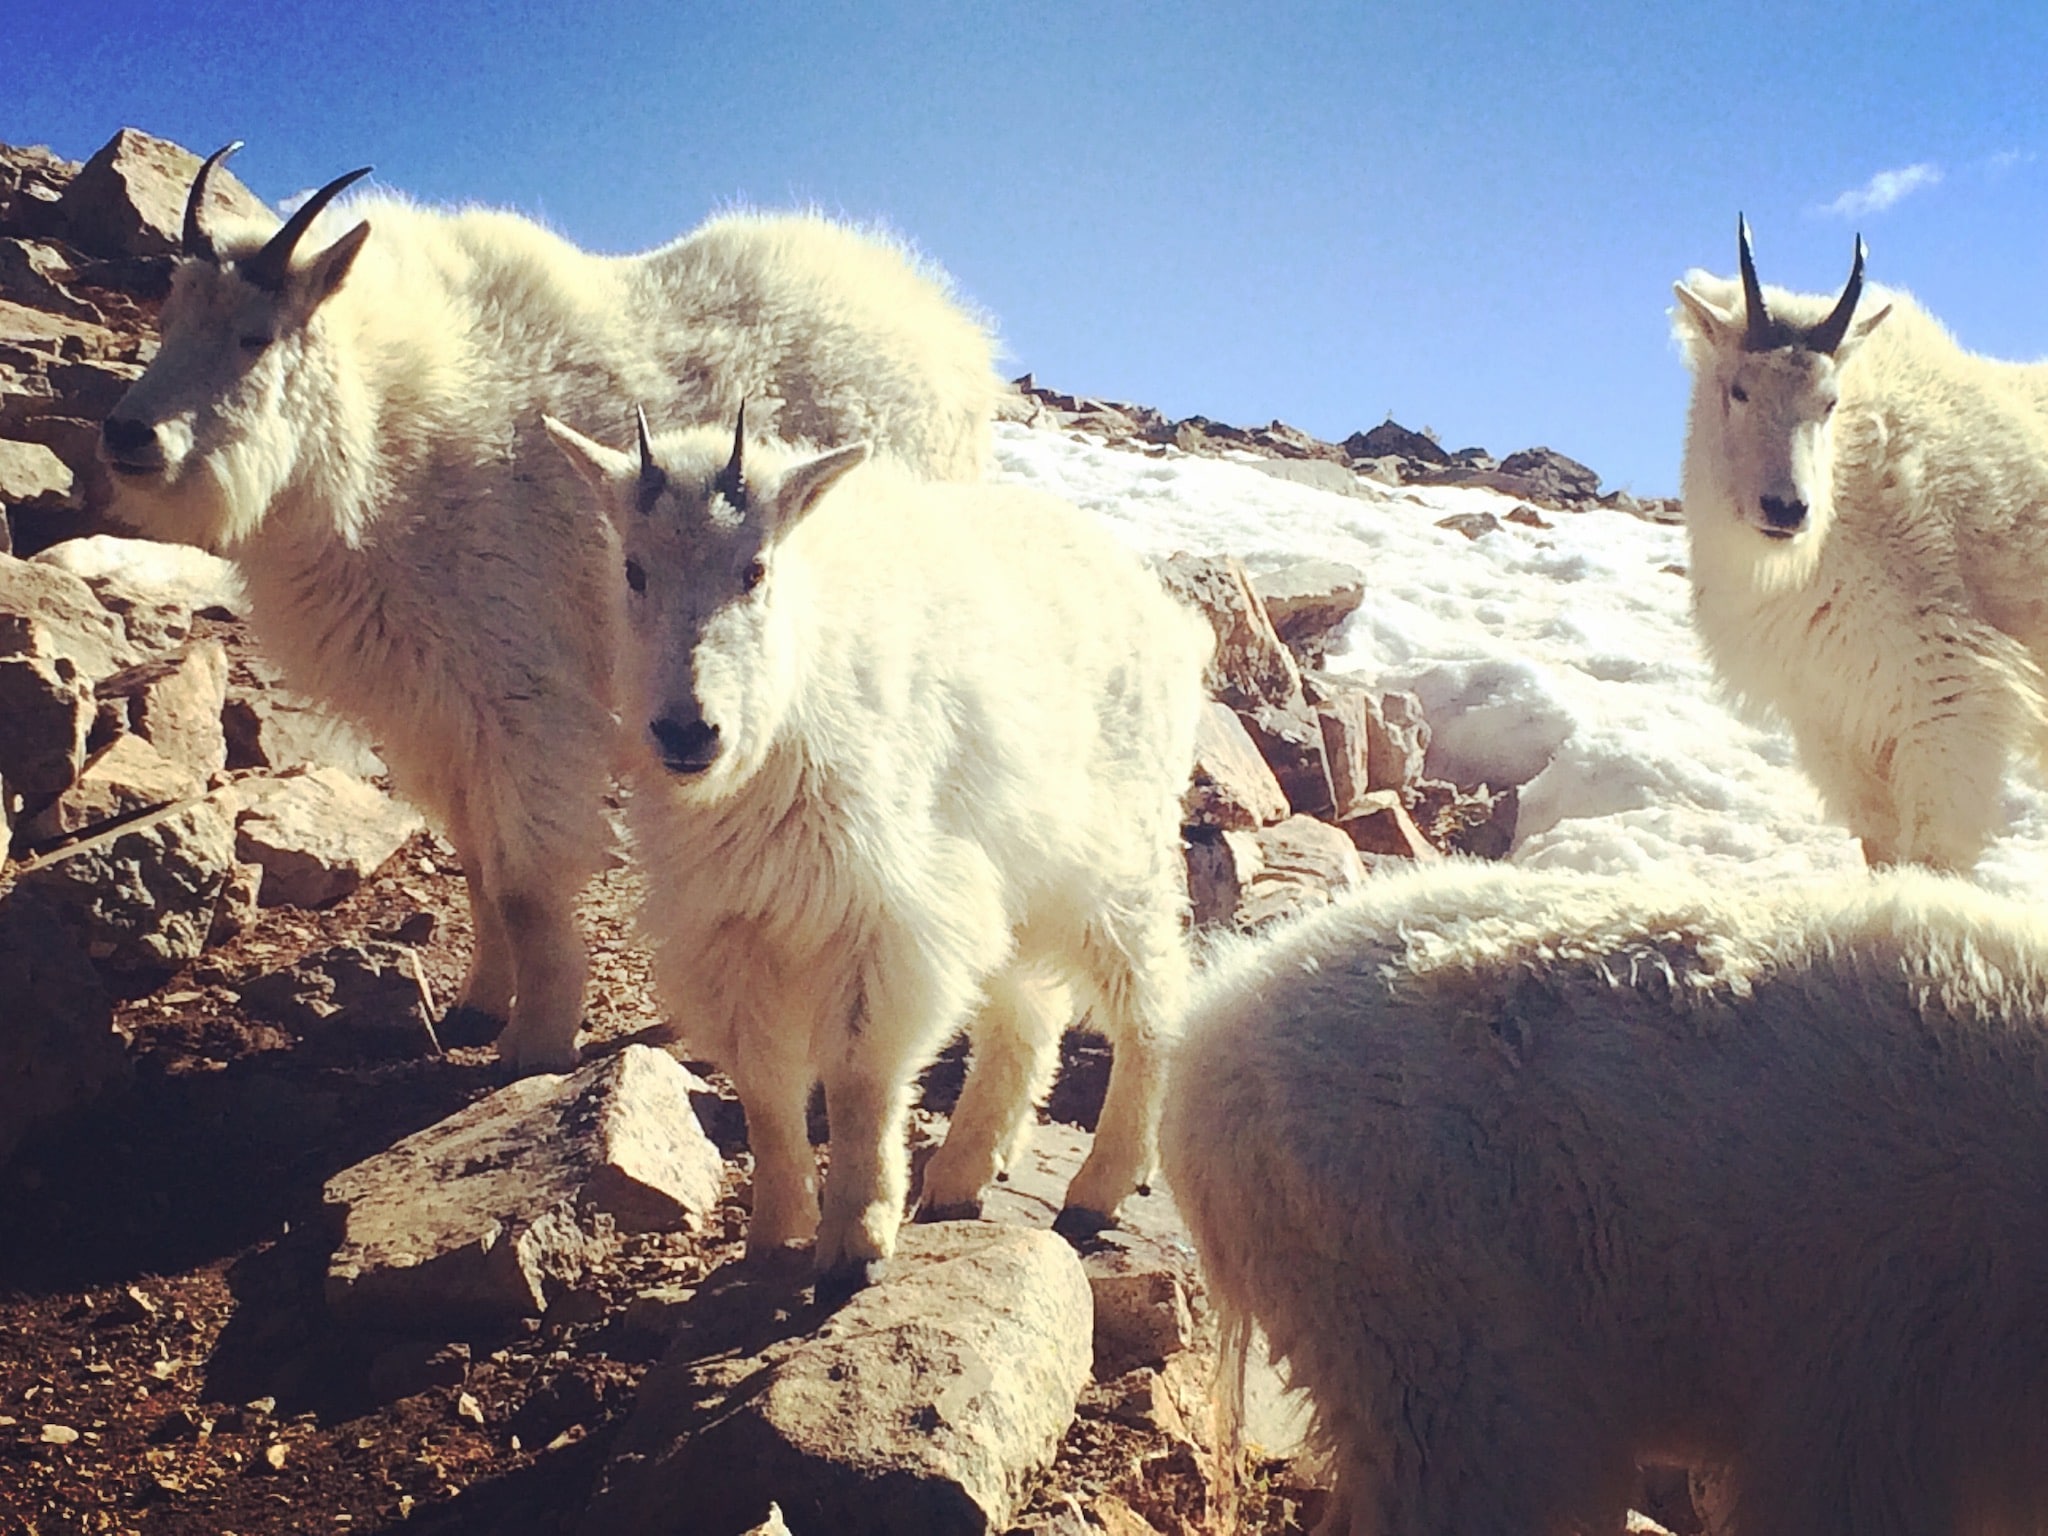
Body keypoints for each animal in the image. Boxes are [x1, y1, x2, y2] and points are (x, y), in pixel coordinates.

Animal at [99, 150, 1003, 1073]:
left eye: (257, 334)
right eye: (171, 317)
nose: (128, 437)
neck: (386, 431)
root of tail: (956, 341)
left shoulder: (521, 692)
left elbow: (525, 885)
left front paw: (534, 1043)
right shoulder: (435, 713)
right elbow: (474, 865)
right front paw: (477, 1005)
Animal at [548, 411, 1212, 1302]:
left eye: (754, 568)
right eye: (634, 570)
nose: (688, 731)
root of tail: (1161, 610)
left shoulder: (885, 912)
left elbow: (861, 1075)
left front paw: (854, 1244)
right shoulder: (734, 928)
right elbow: (765, 1084)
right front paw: (774, 1236)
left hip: (1113, 856)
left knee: (1151, 997)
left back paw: (1100, 1184)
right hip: (1014, 869)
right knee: (1027, 1013)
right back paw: (963, 1175)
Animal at [1671, 218, 2048, 872]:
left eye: (1830, 402)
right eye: (1739, 390)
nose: (1786, 509)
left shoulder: (1947, 693)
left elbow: (1933, 849)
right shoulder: (1832, 712)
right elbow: (1879, 842)